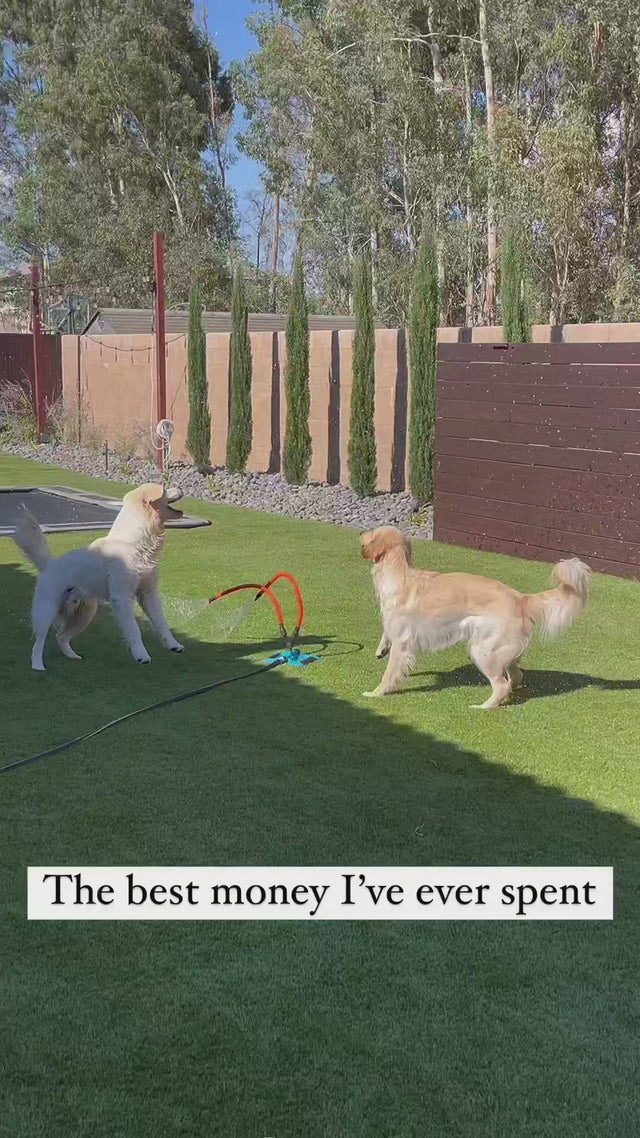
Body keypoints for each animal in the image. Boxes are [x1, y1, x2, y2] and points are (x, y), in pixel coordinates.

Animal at [13, 477, 185, 664]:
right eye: (165, 488)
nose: (181, 488)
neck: (135, 542)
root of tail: (49, 563)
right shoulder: (122, 598)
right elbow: (134, 630)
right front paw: (141, 655)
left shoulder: (149, 594)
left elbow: (162, 623)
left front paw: (174, 644)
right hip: (47, 610)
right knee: (39, 642)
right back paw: (38, 665)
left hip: (84, 614)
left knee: (61, 637)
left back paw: (73, 656)